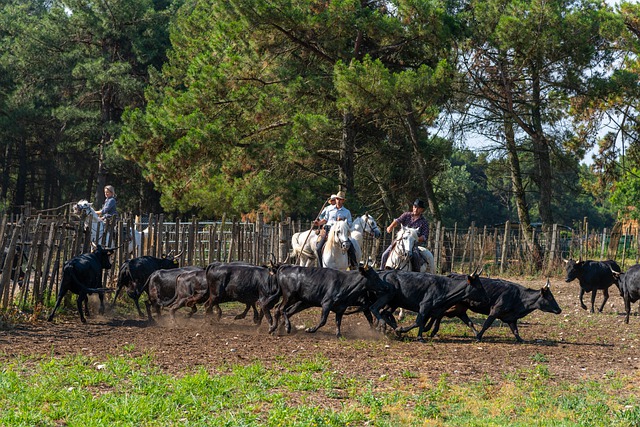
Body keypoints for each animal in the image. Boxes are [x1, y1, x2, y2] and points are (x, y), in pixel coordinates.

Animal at [430, 278, 560, 344]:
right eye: (549, 297)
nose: (559, 309)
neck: (519, 297)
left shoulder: (511, 318)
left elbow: (515, 331)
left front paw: (521, 340)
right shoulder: (495, 311)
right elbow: (487, 324)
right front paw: (479, 337)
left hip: (459, 308)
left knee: (465, 319)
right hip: (454, 305)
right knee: (440, 313)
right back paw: (433, 331)